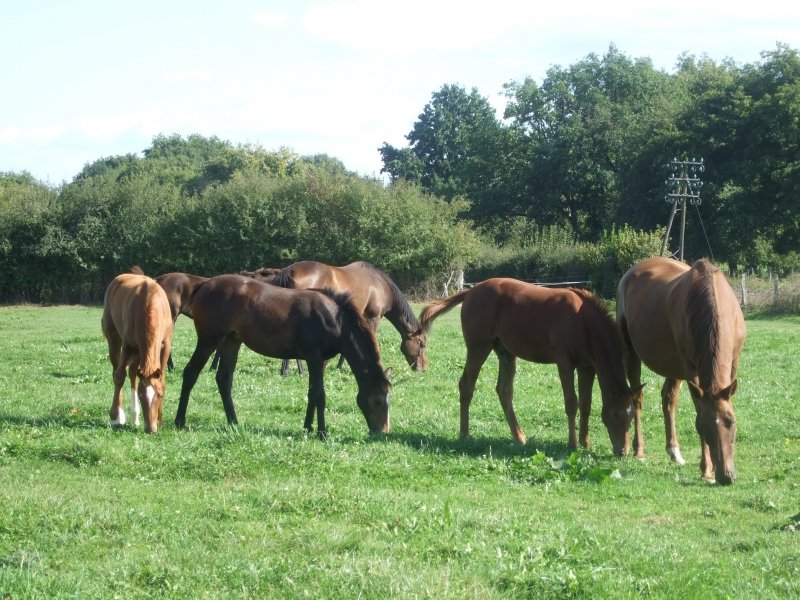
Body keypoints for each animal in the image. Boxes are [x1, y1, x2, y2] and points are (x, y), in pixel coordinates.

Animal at [101, 269, 173, 433]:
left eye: (160, 395)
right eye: (141, 396)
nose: (150, 429)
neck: (149, 302)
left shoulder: (165, 346)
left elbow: (162, 380)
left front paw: (159, 420)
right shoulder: (128, 345)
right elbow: (119, 376)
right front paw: (114, 417)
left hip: (140, 352)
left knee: (133, 371)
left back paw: (135, 417)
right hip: (115, 340)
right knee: (118, 370)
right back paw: (122, 415)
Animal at [174, 274, 392, 437]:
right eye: (378, 400)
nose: (382, 431)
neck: (335, 321)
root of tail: (204, 285)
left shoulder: (318, 360)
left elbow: (312, 393)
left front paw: (308, 427)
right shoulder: (314, 356)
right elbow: (320, 394)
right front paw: (322, 432)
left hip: (231, 341)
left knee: (224, 379)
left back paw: (234, 422)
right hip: (209, 340)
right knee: (190, 373)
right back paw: (180, 421)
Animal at [267, 260, 428, 373]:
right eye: (422, 344)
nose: (423, 368)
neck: (380, 285)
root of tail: (289, 271)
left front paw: (340, 366)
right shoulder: (372, 318)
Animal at [419, 278, 640, 454]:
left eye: (631, 417)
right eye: (615, 414)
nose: (622, 452)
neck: (583, 321)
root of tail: (472, 291)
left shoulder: (587, 367)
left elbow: (586, 404)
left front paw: (585, 443)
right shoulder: (565, 363)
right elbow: (572, 403)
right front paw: (572, 444)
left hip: (506, 353)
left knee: (504, 391)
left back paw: (519, 437)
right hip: (478, 347)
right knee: (466, 385)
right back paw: (464, 434)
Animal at [616, 257, 746, 485]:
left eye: (731, 422)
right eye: (702, 427)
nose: (726, 476)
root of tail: (630, 273)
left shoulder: (732, 365)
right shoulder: (691, 370)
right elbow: (698, 408)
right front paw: (706, 470)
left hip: (674, 367)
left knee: (668, 399)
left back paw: (674, 451)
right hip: (632, 353)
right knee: (637, 397)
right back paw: (638, 450)